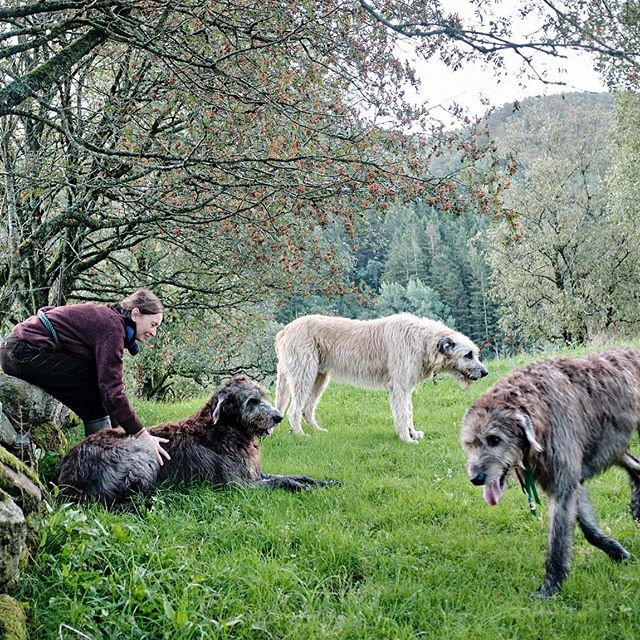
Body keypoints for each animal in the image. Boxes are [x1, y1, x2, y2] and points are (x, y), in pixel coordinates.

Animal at [57, 372, 338, 508]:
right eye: (252, 401)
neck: (227, 429)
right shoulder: (239, 485)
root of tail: (69, 476)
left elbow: (292, 475)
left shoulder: (255, 474)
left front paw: (324, 482)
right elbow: (283, 482)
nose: (278, 417)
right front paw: (304, 488)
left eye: (264, 396)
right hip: (141, 452)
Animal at [272, 312, 488, 442]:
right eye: (468, 354)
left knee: (306, 408)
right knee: (294, 410)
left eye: (475, 353)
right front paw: (406, 438)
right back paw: (300, 434)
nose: (485, 373)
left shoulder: (406, 386)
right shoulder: (398, 385)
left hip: (319, 376)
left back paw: (316, 431)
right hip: (304, 374)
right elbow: (402, 412)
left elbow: (409, 410)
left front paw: (412, 432)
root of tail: (285, 330)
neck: (424, 341)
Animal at [460, 348, 640, 596]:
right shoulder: (571, 478)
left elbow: (558, 540)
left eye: (494, 439)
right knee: (634, 464)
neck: (539, 409)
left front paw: (550, 587)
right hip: (611, 443)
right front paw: (615, 550)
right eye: (469, 444)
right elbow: (588, 529)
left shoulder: (564, 481)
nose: (476, 479)